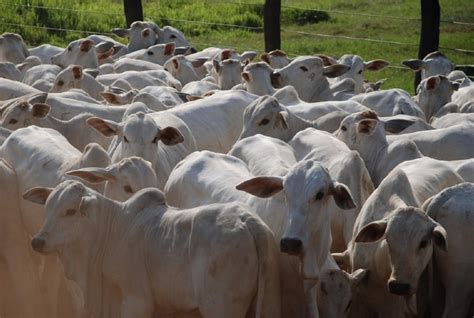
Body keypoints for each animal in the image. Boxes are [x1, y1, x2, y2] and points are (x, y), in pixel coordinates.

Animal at [25, 181, 280, 318]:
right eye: (47, 207)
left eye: (69, 211)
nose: (38, 241)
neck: (113, 229)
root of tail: (248, 221)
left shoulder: (137, 301)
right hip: (268, 302)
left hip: (221, 306)